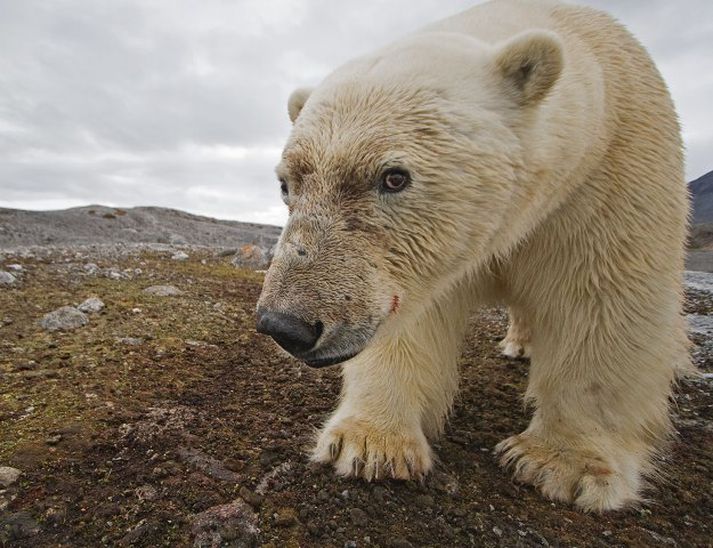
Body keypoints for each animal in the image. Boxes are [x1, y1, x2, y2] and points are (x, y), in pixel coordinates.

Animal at [256, 1, 688, 512]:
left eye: (394, 177)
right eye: (287, 184)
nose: (286, 325)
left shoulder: (608, 177)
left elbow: (603, 302)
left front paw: (564, 465)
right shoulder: (427, 261)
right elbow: (415, 319)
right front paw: (369, 444)